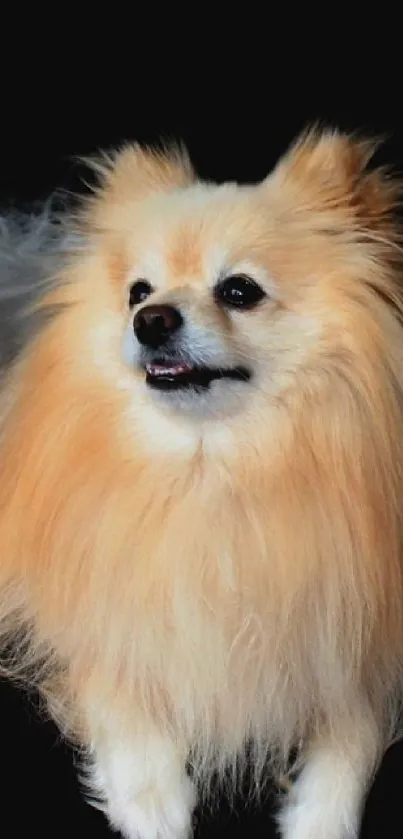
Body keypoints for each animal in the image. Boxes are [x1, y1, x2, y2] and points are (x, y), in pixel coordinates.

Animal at [0, 126, 403, 839]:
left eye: (240, 290)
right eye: (138, 292)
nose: (152, 319)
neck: (211, 474)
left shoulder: (359, 627)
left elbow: (352, 731)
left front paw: (321, 816)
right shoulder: (88, 607)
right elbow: (117, 680)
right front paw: (152, 800)